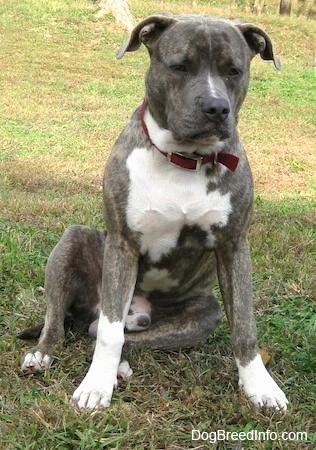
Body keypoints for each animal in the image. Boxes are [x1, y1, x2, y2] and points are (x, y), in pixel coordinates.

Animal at [18, 12, 288, 412]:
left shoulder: (234, 246)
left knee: (124, 335)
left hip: (202, 314)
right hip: (72, 241)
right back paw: (42, 354)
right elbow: (110, 334)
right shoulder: (122, 245)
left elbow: (244, 326)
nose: (216, 108)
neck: (183, 159)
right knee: (69, 324)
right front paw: (95, 387)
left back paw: (122, 365)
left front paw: (260, 386)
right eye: (180, 66)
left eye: (234, 71)